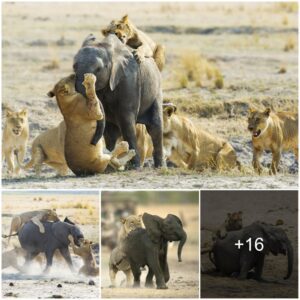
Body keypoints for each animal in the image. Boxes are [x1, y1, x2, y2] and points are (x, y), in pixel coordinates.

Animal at [73, 33, 163, 169]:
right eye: (74, 66)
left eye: (98, 69)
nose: (92, 142)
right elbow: (108, 127)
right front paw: (110, 166)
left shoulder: (130, 79)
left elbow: (126, 122)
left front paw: (135, 167)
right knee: (112, 131)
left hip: (156, 89)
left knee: (155, 127)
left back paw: (160, 167)